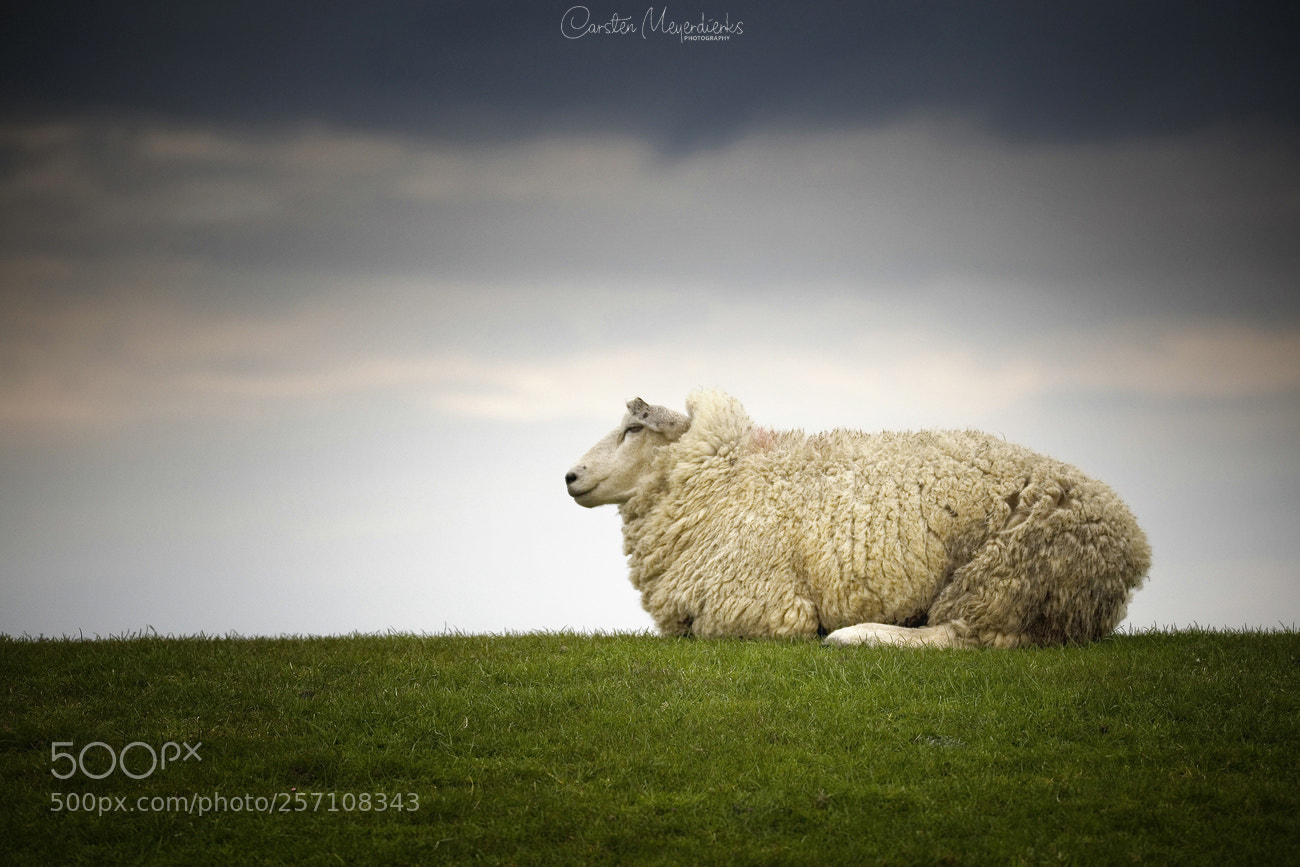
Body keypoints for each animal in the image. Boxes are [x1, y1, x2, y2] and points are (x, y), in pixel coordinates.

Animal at [565, 390, 1150, 648]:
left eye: (633, 429)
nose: (570, 476)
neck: (727, 475)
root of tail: (1132, 542)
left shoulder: (760, 609)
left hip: (1003, 570)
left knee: (964, 636)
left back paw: (858, 635)